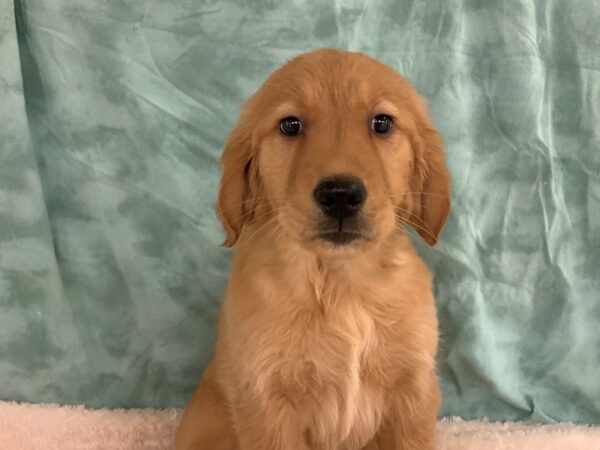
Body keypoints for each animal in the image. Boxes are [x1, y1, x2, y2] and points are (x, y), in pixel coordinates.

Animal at [177, 49, 450, 450]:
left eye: (382, 123)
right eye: (291, 125)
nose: (340, 195)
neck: (338, 282)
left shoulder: (413, 388)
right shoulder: (267, 398)